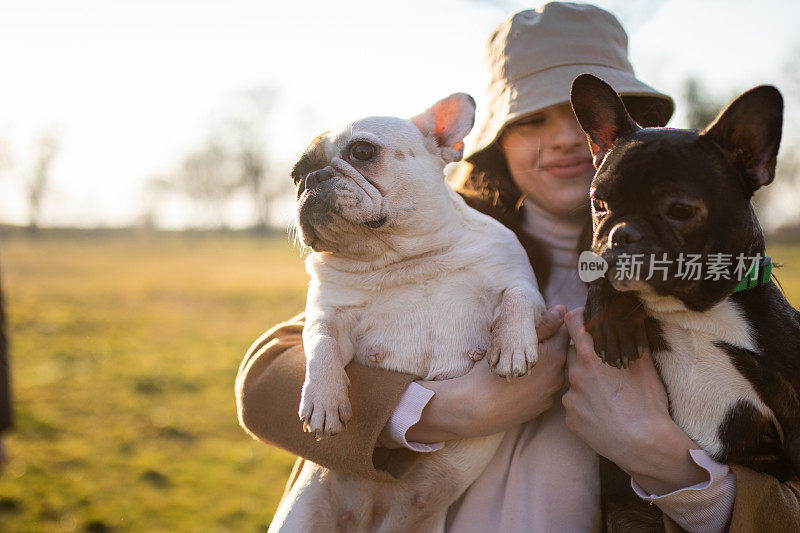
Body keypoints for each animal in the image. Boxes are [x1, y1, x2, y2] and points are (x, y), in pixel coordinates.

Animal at [272, 93, 548, 528]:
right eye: (295, 175)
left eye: (362, 151)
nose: (311, 179)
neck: (405, 258)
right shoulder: (328, 314)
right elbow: (321, 346)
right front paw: (323, 399)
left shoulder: (522, 283)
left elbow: (517, 298)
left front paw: (512, 347)